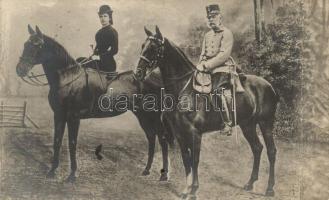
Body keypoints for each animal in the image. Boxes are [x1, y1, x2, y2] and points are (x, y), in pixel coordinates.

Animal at [15, 25, 170, 183]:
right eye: (25, 44)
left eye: (37, 45)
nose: (19, 70)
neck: (68, 79)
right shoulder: (59, 115)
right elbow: (57, 141)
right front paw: (52, 171)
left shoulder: (73, 117)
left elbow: (72, 143)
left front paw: (72, 175)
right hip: (143, 115)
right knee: (151, 138)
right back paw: (146, 170)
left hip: (153, 115)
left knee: (163, 140)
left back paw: (163, 175)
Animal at [136, 26, 280, 198]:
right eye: (143, 45)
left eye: (153, 47)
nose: (138, 73)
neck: (183, 89)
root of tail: (269, 86)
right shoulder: (180, 134)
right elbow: (186, 159)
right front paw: (186, 190)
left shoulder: (195, 134)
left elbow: (195, 160)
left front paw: (194, 190)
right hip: (248, 125)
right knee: (257, 148)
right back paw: (250, 183)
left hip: (265, 123)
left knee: (271, 151)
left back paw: (270, 189)